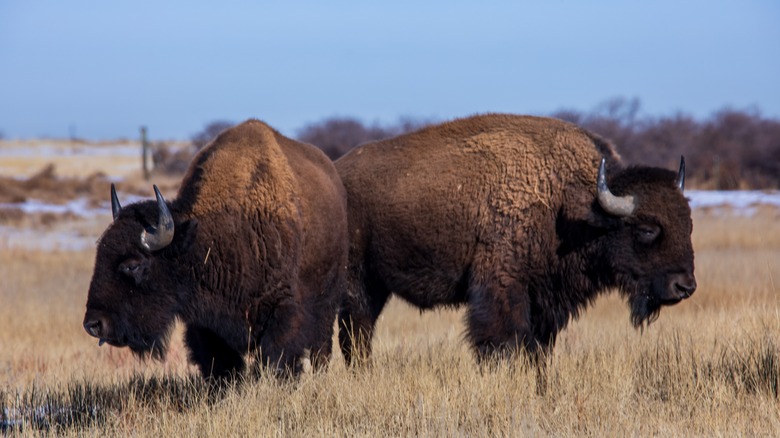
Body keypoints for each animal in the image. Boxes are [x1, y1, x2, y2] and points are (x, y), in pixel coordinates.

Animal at [83, 120, 348, 380]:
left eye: (133, 265)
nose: (93, 324)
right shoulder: (205, 324)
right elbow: (221, 363)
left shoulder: (283, 310)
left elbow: (277, 358)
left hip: (326, 301)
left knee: (321, 343)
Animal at [336, 112, 696, 362]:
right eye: (647, 229)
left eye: (689, 224)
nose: (685, 286)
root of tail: (337, 172)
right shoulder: (500, 291)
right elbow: (501, 345)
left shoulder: (546, 304)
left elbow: (538, 350)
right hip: (358, 282)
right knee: (356, 333)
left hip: (377, 285)